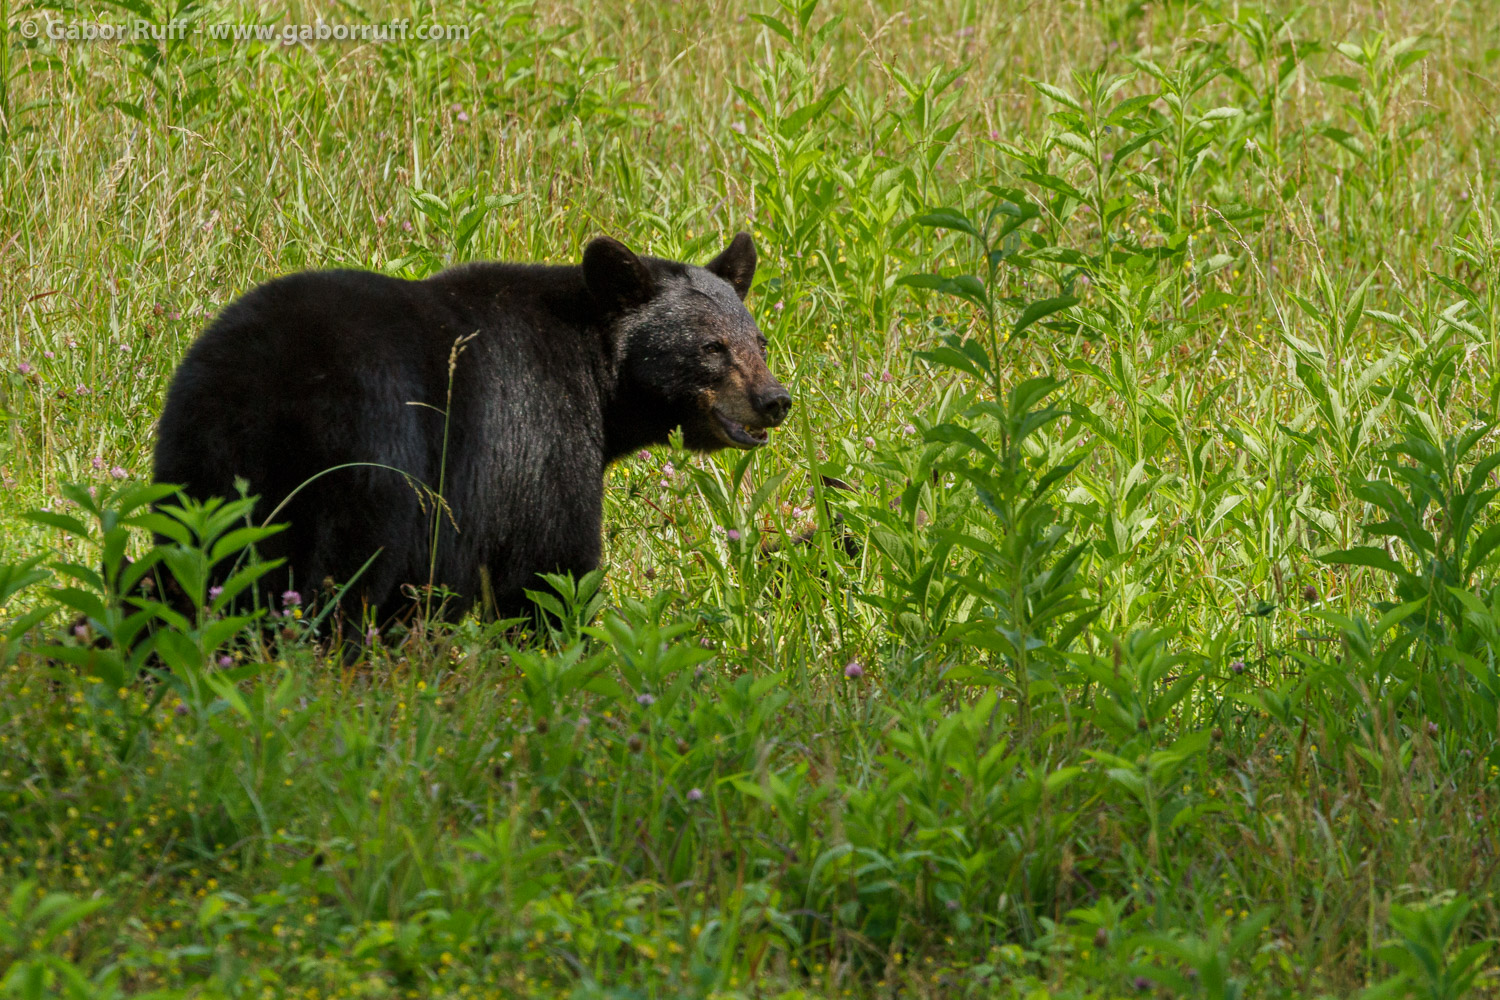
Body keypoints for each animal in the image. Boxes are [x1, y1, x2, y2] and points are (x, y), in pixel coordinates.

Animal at [152, 233, 791, 628]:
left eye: (759, 342)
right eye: (711, 347)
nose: (776, 400)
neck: (595, 370)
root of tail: (265, 385)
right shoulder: (540, 435)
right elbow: (550, 567)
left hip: (199, 467)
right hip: (368, 462)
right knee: (345, 580)